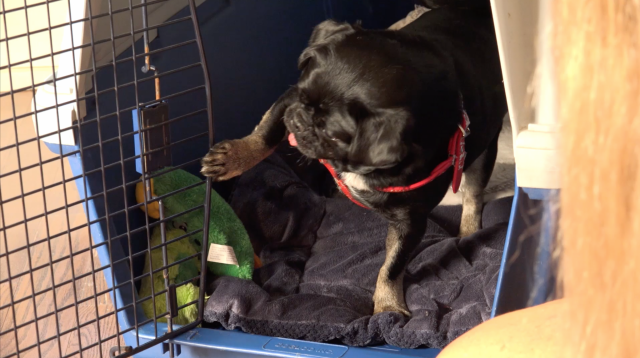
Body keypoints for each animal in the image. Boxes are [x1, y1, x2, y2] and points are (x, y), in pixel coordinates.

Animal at [202, 3, 508, 316]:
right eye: (302, 97)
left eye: (332, 133)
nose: (299, 122)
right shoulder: (286, 100)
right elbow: (265, 135)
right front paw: (234, 157)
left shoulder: (410, 223)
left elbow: (392, 266)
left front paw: (387, 306)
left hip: (483, 149)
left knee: (473, 195)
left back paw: (469, 233)